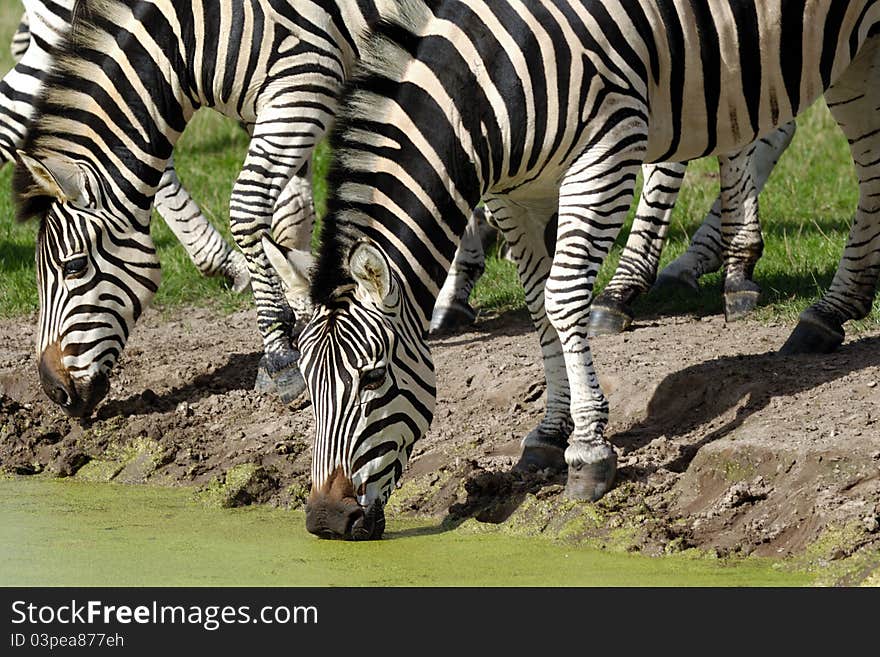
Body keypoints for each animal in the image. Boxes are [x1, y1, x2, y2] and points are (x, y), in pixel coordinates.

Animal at [272, 0, 880, 540]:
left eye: (374, 378)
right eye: (307, 384)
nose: (325, 521)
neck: (490, 89)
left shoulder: (607, 151)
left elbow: (565, 300)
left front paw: (588, 452)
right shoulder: (516, 193)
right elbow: (540, 311)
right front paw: (549, 432)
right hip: (852, 55)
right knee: (868, 162)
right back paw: (831, 310)